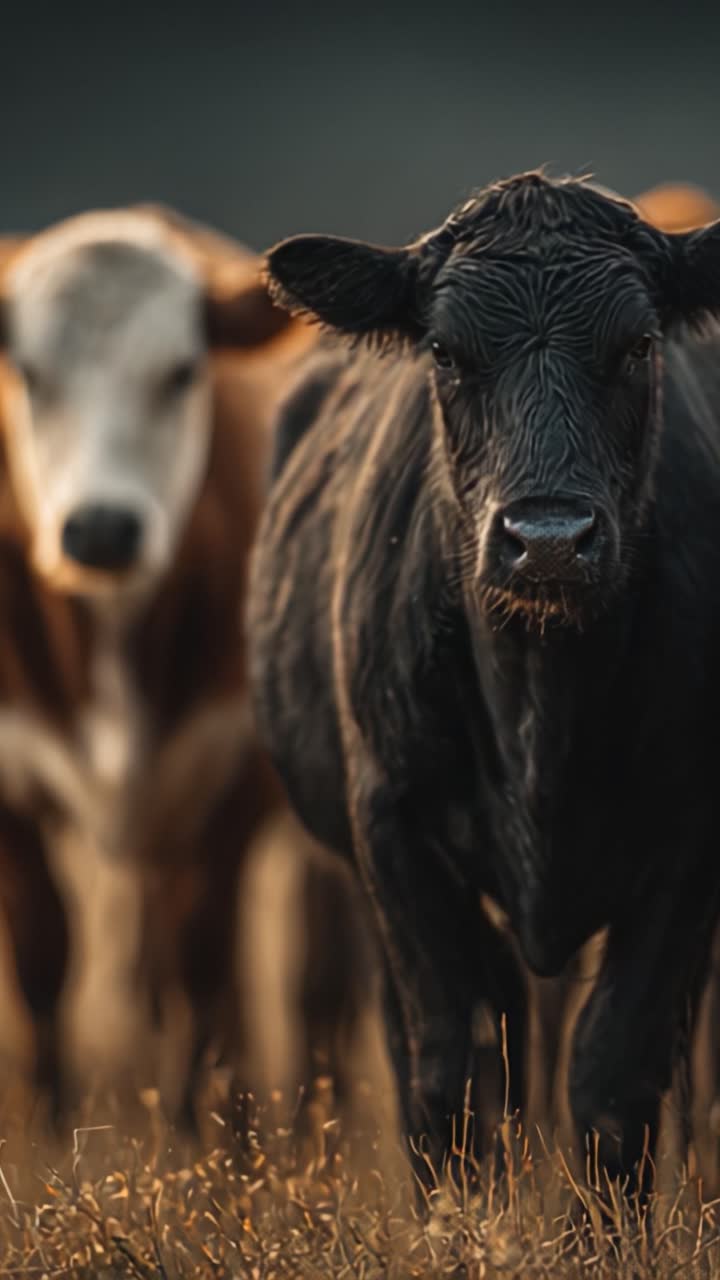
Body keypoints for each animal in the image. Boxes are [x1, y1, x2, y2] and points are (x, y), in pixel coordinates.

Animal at [0, 205, 375, 1132]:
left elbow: (204, 964)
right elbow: (44, 956)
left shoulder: (231, 778)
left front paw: (196, 1134)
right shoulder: (12, 783)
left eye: (180, 372)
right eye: (29, 374)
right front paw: (51, 1129)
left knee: (312, 972)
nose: (101, 528)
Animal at [247, 170, 720, 1197]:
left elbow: (615, 1072)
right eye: (446, 350)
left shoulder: (689, 838)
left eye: (639, 345)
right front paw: (469, 1221)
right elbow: (455, 1066)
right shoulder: (394, 828)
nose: (547, 539)